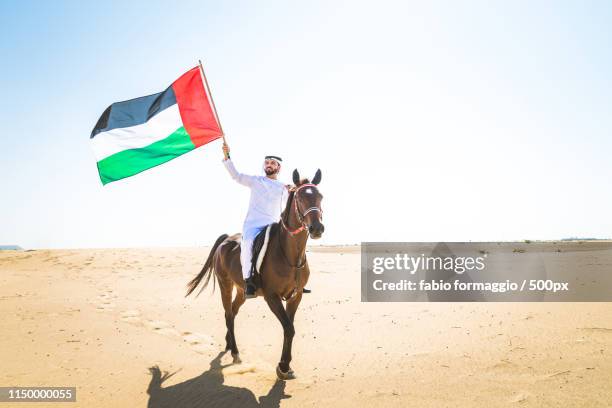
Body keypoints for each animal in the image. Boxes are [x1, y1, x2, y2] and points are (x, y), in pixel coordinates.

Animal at [184, 168, 322, 380]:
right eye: (300, 197)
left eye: (320, 197)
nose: (317, 228)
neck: (289, 253)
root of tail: (227, 239)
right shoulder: (272, 297)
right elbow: (288, 328)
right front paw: (283, 367)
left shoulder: (295, 296)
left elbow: (289, 328)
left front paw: (286, 366)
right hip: (225, 285)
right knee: (228, 313)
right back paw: (235, 351)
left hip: (242, 291)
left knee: (232, 312)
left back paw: (229, 344)